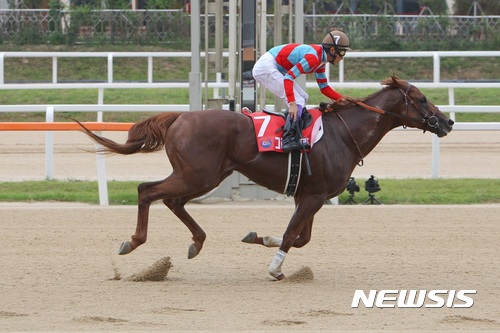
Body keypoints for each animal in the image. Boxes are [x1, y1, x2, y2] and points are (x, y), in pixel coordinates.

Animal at [77, 74, 454, 278]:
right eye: (422, 99)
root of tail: (179, 118)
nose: (448, 121)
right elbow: (292, 236)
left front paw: (257, 237)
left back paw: (197, 242)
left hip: (207, 175)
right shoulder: (313, 197)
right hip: (198, 175)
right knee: (148, 190)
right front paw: (275, 268)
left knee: (172, 200)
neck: (343, 134)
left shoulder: (310, 195)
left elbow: (300, 238)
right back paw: (133, 241)